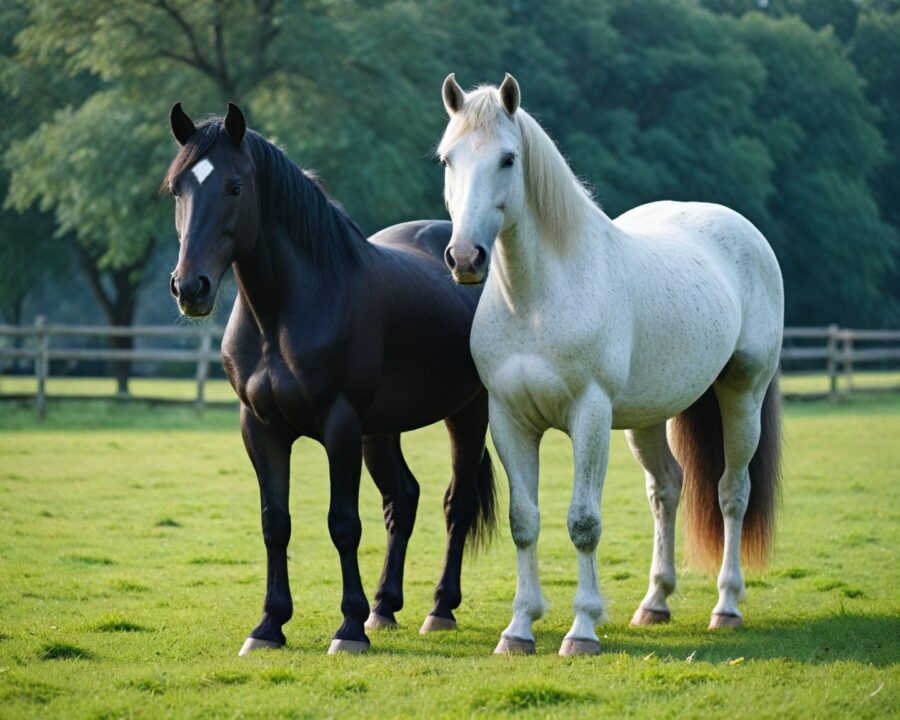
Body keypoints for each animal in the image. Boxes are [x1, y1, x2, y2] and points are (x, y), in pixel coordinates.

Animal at [164, 102, 496, 656]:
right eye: (177, 188)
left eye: (234, 186)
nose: (191, 287)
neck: (283, 311)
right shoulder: (261, 429)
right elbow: (275, 523)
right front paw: (269, 625)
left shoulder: (339, 425)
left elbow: (343, 523)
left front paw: (348, 629)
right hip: (381, 430)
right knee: (402, 499)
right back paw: (385, 606)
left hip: (468, 412)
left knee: (458, 504)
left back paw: (439, 608)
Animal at [438, 74, 783, 656]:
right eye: (447, 158)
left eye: (508, 158)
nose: (465, 257)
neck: (536, 300)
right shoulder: (509, 420)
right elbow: (524, 521)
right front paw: (519, 629)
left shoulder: (590, 416)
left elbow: (583, 523)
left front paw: (581, 630)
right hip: (647, 417)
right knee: (667, 489)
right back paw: (655, 602)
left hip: (742, 395)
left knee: (732, 494)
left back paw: (727, 606)